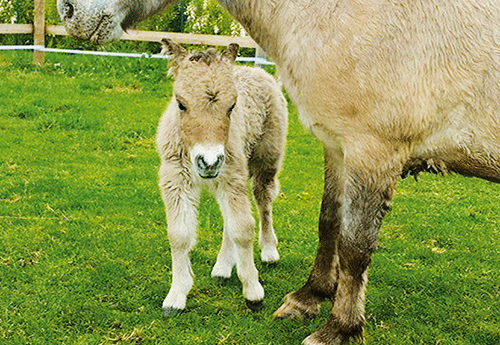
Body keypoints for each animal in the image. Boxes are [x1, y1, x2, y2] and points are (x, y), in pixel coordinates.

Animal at [156, 39, 290, 314]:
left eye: (232, 106)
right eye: (181, 103)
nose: (209, 161)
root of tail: (258, 71)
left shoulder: (231, 175)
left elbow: (243, 228)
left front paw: (253, 291)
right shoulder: (175, 179)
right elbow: (179, 234)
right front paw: (176, 296)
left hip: (265, 158)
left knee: (263, 199)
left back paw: (269, 250)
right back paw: (223, 268)